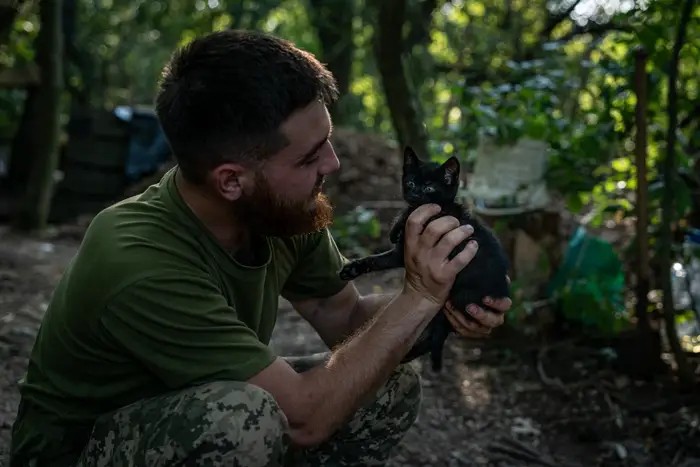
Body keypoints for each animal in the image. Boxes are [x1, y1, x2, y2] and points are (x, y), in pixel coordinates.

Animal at [340, 146, 508, 372]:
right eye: (410, 182)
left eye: (429, 187)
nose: (414, 192)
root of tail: (501, 292)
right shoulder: (401, 254)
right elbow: (375, 260)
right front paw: (353, 268)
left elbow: (408, 213)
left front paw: (397, 224)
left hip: (458, 299)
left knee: (438, 335)